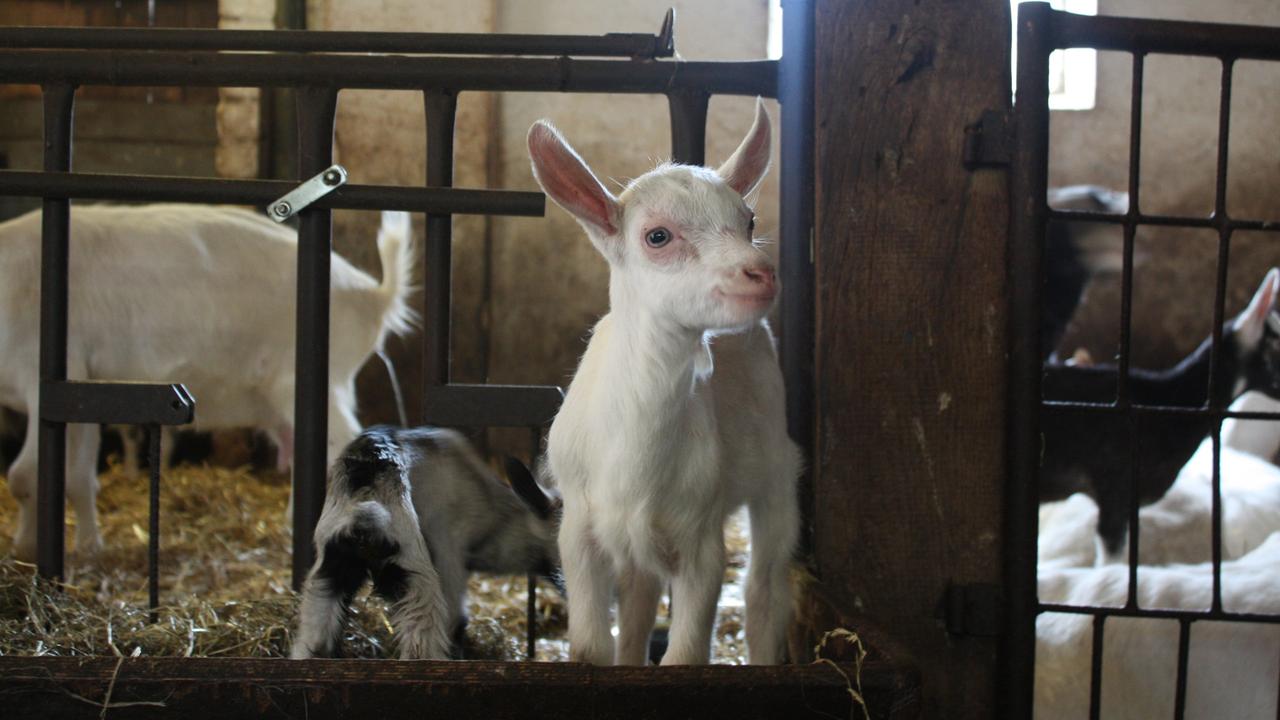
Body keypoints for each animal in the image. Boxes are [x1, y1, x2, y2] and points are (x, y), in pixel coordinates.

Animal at [0, 204, 415, 561]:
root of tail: (373, 295)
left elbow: (22, 476)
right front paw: (88, 546)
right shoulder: (81, 386)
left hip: (315, 381)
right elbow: (78, 476)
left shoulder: (42, 374)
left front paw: (25, 550)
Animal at [291, 426, 560, 659]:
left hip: (327, 577)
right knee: (421, 646)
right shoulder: (449, 554)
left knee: (313, 641)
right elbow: (457, 623)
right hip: (417, 576)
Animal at [528, 99, 801, 666]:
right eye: (657, 236)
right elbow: (590, 648)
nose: (760, 272)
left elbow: (686, 655)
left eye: (749, 221)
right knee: (638, 598)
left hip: (776, 471)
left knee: (764, 589)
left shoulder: (702, 539)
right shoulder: (579, 531)